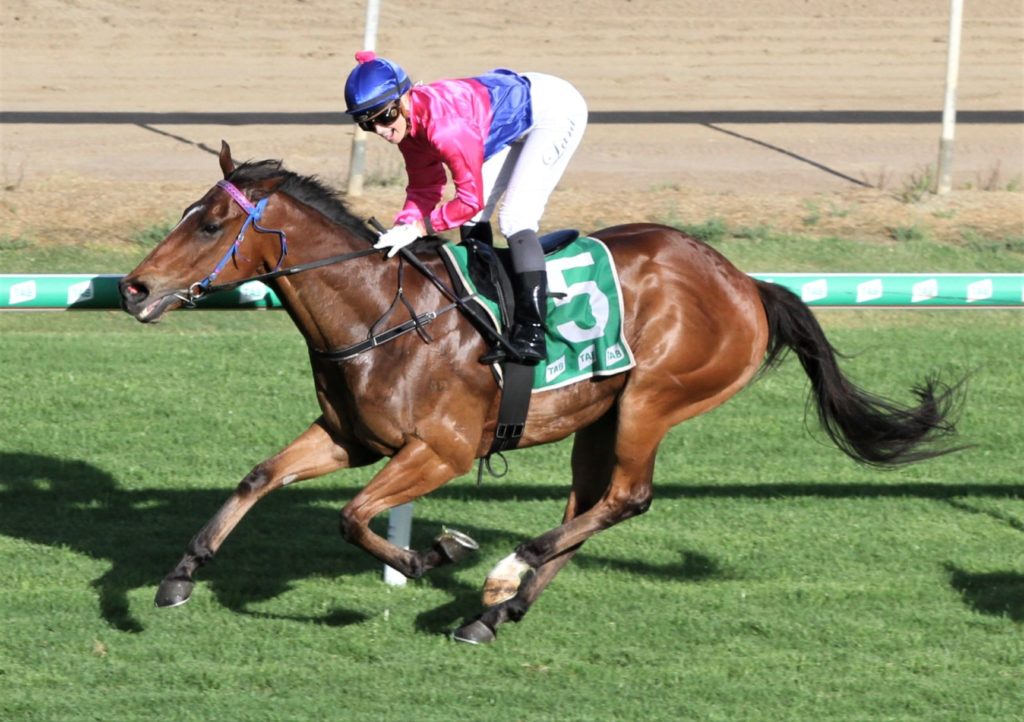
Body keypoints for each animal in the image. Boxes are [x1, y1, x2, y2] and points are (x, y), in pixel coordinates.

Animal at [119, 142, 964, 644]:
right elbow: (259, 477)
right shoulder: (349, 437)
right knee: (588, 505)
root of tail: (746, 282)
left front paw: (434, 554)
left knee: (626, 498)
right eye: (189, 213)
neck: (379, 314)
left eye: (212, 222)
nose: (133, 288)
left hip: (654, 397)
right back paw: (499, 612)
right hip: (602, 414)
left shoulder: (442, 450)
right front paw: (179, 576)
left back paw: (503, 575)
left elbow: (353, 516)